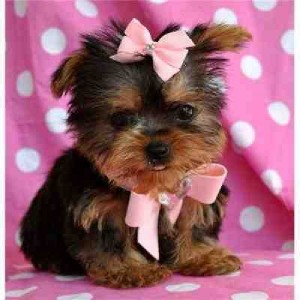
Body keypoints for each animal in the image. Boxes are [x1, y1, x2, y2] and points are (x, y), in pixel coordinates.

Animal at [19, 19, 252, 288]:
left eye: (185, 111)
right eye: (121, 118)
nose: (158, 149)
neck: (153, 186)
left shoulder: (193, 194)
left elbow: (193, 221)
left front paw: (202, 256)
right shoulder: (99, 208)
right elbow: (113, 236)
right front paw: (130, 269)